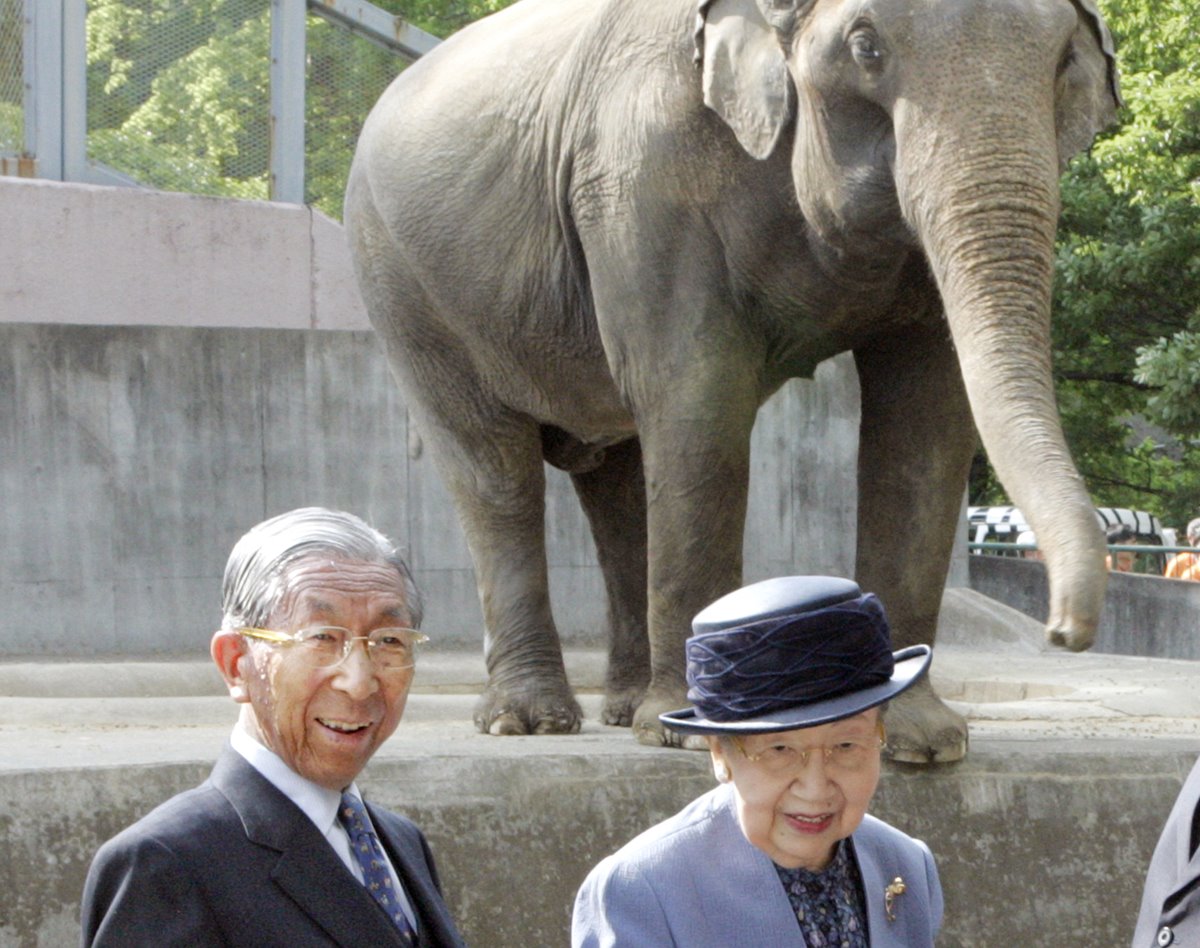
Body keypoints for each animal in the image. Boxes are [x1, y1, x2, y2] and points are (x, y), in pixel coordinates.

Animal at [343, 0, 1118, 763]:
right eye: (865, 48)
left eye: (1063, 60)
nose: (1064, 630)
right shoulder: (643, 182)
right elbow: (698, 399)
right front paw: (691, 734)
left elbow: (924, 425)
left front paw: (920, 741)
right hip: (408, 292)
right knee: (494, 471)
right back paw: (532, 723)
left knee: (620, 480)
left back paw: (624, 710)